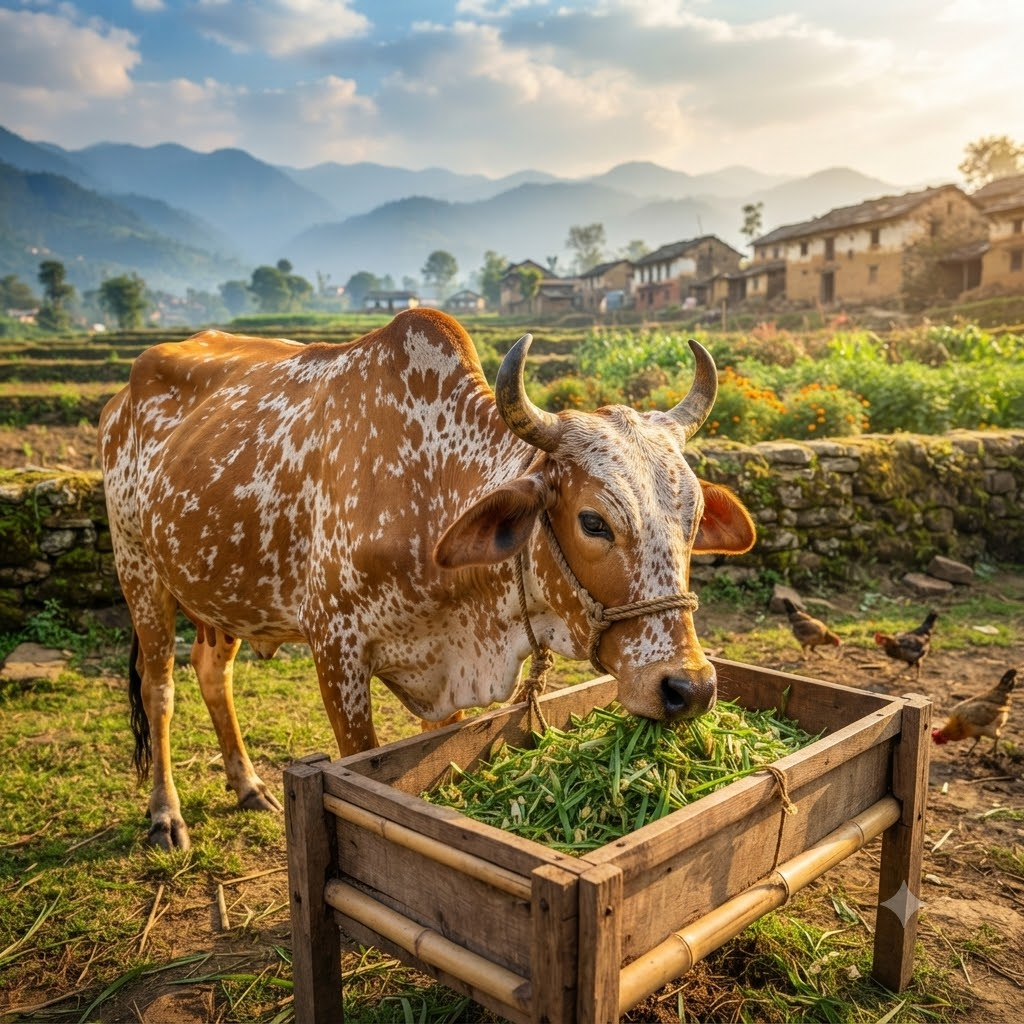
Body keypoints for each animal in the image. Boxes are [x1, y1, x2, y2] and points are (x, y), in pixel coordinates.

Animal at [99, 308, 755, 850]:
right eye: (593, 521)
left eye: (694, 515)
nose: (690, 688)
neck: (425, 489)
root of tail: (120, 396)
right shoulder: (336, 650)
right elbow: (358, 756)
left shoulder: (444, 673)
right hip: (140, 572)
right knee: (159, 689)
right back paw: (165, 816)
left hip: (220, 590)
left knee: (213, 672)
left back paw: (248, 785)